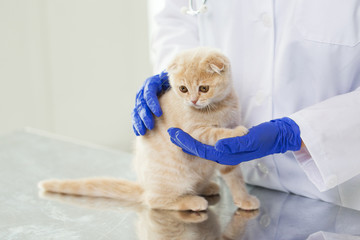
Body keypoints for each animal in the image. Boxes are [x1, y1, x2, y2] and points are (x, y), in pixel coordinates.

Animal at [38, 47, 258, 212]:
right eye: (183, 89)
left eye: (203, 88)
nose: (193, 101)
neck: (218, 107)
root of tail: (144, 187)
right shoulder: (193, 132)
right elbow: (215, 132)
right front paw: (238, 133)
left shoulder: (227, 155)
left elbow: (235, 176)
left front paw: (243, 199)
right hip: (171, 180)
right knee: (154, 201)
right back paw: (191, 201)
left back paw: (206, 187)